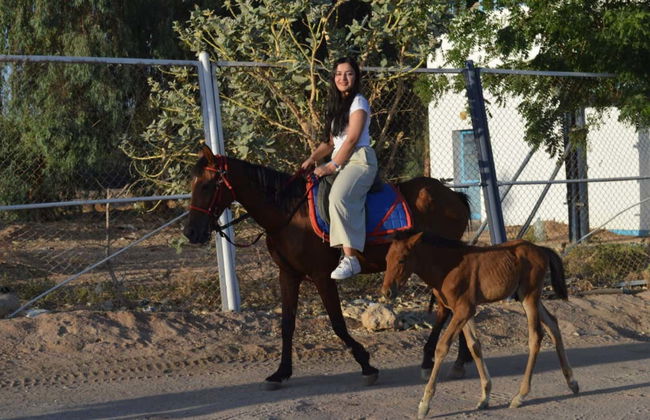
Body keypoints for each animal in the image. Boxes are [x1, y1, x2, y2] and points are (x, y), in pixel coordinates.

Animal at [184, 145, 472, 389]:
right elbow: (287, 324)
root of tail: (453, 196)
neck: (289, 213)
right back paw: (459, 360)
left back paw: (432, 359)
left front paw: (366, 364)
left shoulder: (322, 276)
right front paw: (281, 372)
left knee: (448, 307)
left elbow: (337, 323)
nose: (190, 232)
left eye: (207, 185)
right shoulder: (288, 275)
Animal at [380, 230, 579, 418]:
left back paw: (520, 395)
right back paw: (572, 382)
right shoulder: (464, 311)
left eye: (402, 259)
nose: (387, 292)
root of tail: (541, 249)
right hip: (530, 297)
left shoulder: (463, 310)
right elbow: (474, 346)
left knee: (536, 336)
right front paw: (485, 396)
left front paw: (424, 404)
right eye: (386, 259)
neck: (447, 267)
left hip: (529, 297)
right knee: (553, 324)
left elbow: (442, 347)